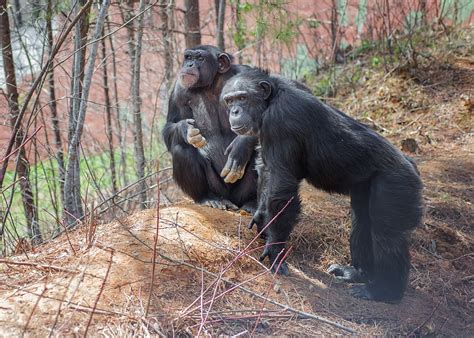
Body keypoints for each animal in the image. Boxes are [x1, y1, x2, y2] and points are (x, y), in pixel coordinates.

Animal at [163, 45, 260, 211]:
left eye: (200, 58)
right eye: (188, 57)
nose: (189, 65)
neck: (213, 84)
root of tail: (231, 200)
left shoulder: (248, 74)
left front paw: (241, 146)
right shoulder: (179, 90)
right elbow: (170, 125)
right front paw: (186, 129)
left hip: (240, 193)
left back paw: (252, 203)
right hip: (218, 188)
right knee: (181, 149)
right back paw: (208, 198)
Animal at [220, 68, 424, 304]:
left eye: (243, 98)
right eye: (229, 100)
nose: (234, 111)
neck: (270, 100)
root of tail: (411, 164)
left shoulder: (281, 121)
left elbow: (282, 186)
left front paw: (275, 250)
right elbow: (266, 169)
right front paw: (262, 218)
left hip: (396, 184)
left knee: (387, 233)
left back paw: (383, 291)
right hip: (367, 185)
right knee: (363, 220)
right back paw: (357, 273)